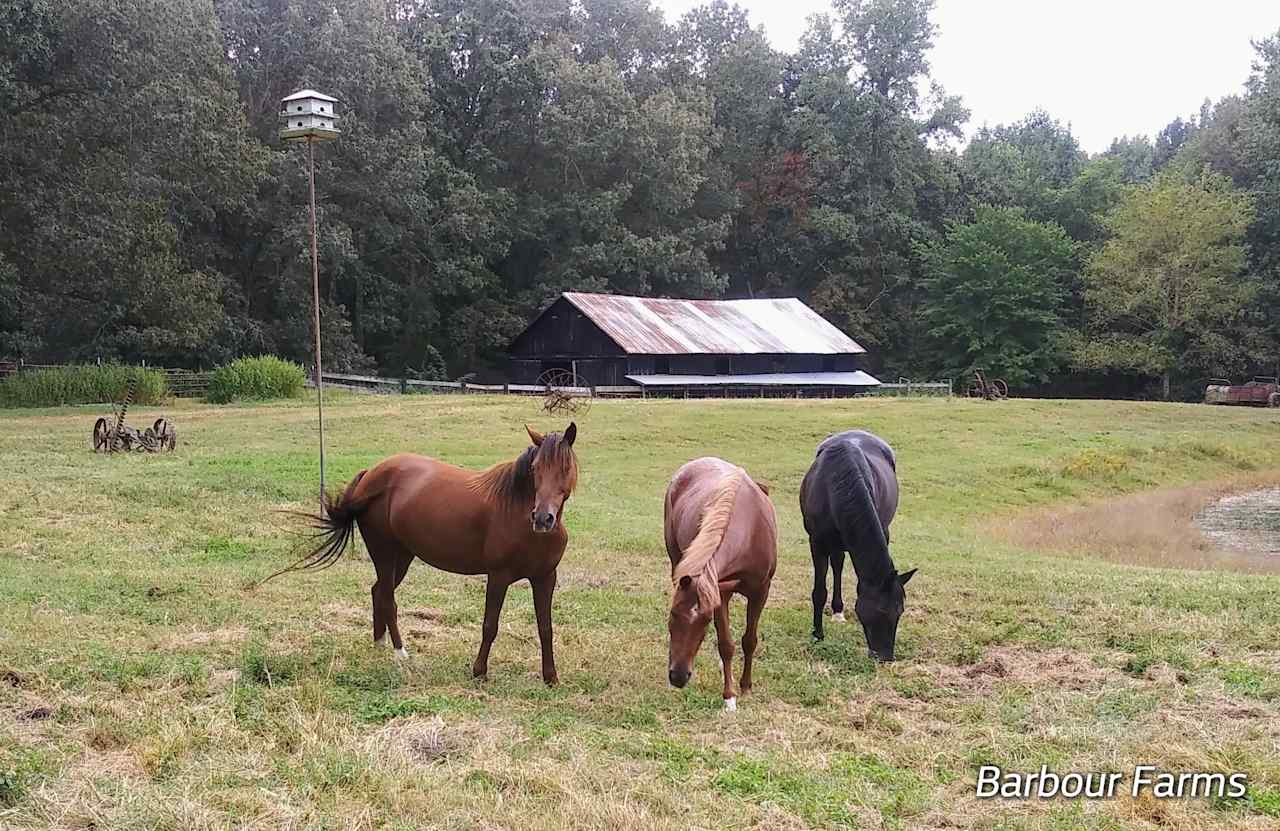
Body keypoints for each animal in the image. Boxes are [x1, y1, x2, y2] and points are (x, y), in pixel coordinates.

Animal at [264, 417, 581, 686]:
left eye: (565, 469)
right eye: (535, 469)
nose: (543, 518)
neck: (518, 514)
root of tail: (371, 475)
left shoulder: (545, 578)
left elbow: (546, 628)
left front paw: (551, 678)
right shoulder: (498, 576)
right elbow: (490, 625)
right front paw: (479, 672)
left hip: (402, 556)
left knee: (378, 592)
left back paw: (379, 645)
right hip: (384, 552)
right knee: (387, 598)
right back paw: (400, 653)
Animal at [665, 455, 773, 711]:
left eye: (705, 621)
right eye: (672, 614)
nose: (678, 676)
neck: (751, 529)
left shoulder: (761, 591)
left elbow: (749, 640)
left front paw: (746, 687)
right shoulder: (720, 594)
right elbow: (726, 644)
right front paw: (729, 696)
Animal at [793, 430, 916, 655]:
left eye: (900, 611)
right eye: (881, 610)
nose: (885, 656)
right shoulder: (817, 543)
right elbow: (819, 591)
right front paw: (817, 634)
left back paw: (838, 611)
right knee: (837, 565)